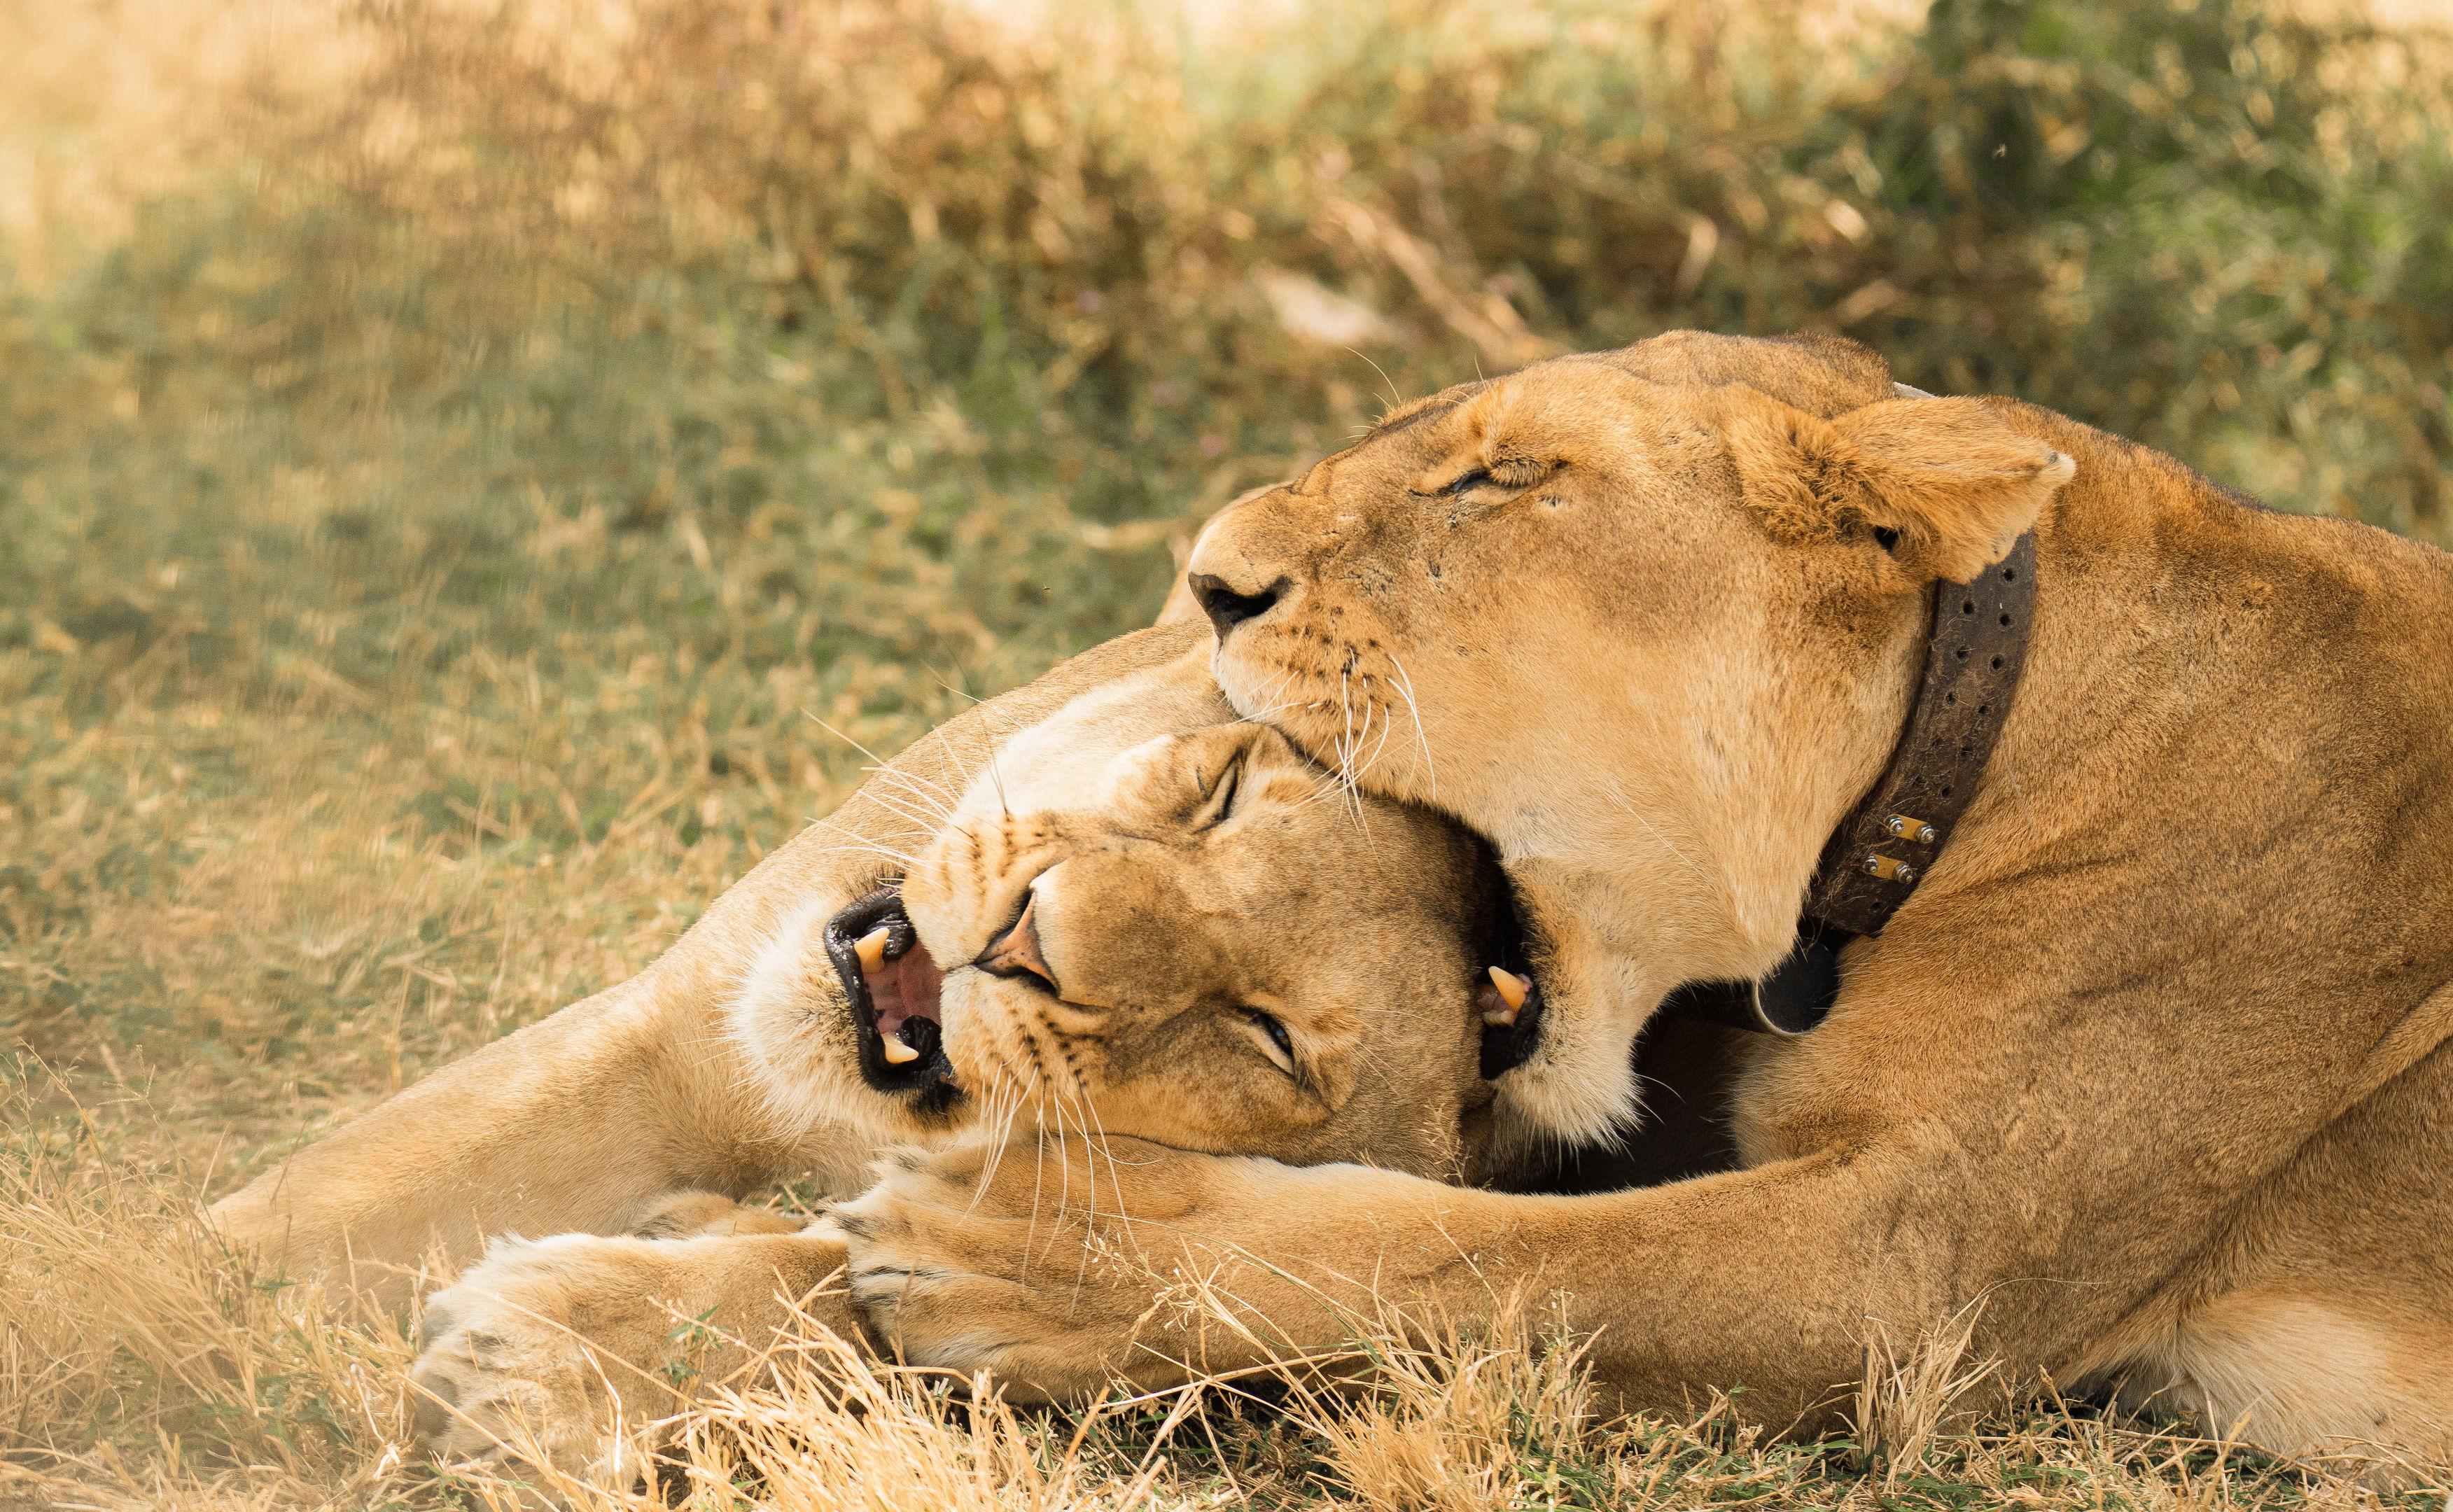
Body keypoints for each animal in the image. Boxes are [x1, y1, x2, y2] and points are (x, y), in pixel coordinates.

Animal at [209, 628, 1534, 1474]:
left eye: (1268, 1041)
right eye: (1218, 790)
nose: (1029, 941)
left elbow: (839, 1290)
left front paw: (553, 1359)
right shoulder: (658, 1039)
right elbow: (239, 1248)